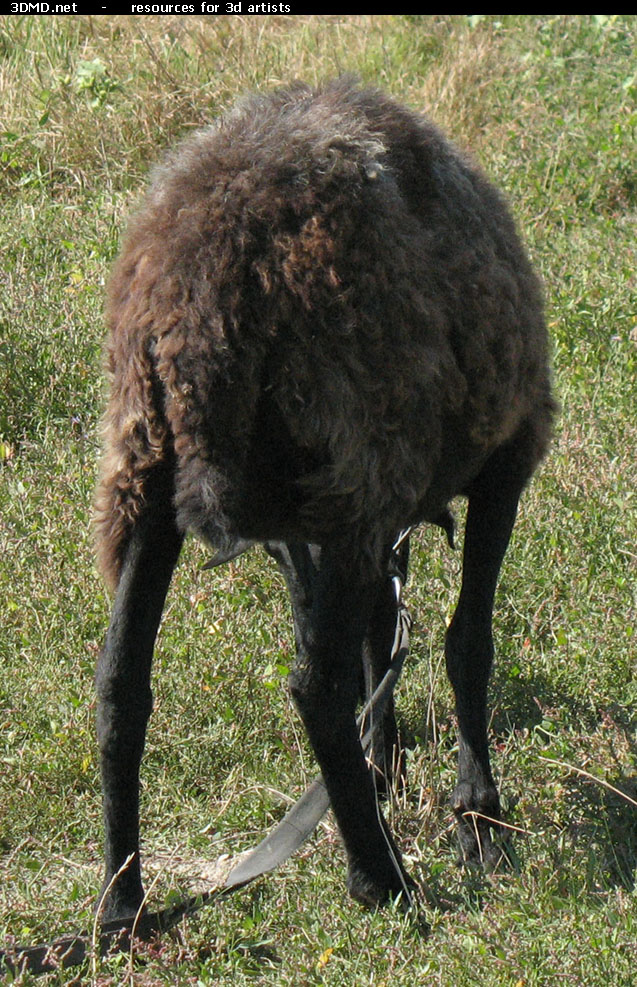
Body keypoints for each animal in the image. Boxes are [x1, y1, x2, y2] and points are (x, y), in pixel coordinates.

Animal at [93, 77, 552, 920]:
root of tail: (200, 291)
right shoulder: (506, 455)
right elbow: (465, 641)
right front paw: (477, 812)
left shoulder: (324, 533)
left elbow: (376, 634)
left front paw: (385, 763)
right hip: (357, 462)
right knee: (315, 690)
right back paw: (380, 878)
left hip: (147, 471)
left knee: (119, 685)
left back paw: (122, 903)